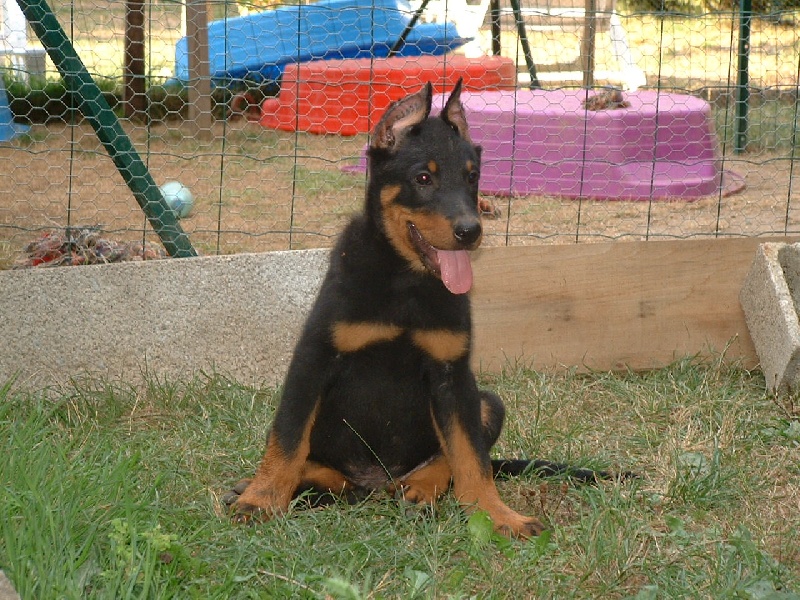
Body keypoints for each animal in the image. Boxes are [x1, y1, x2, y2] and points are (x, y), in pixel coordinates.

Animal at [225, 80, 605, 538]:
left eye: (472, 177)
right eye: (423, 178)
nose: (471, 231)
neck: (406, 280)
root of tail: (376, 482)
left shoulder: (451, 372)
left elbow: (470, 456)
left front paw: (497, 515)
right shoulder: (313, 358)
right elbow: (287, 437)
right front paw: (260, 500)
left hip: (488, 401)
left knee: (447, 457)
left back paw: (420, 487)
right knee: (324, 469)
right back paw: (275, 483)